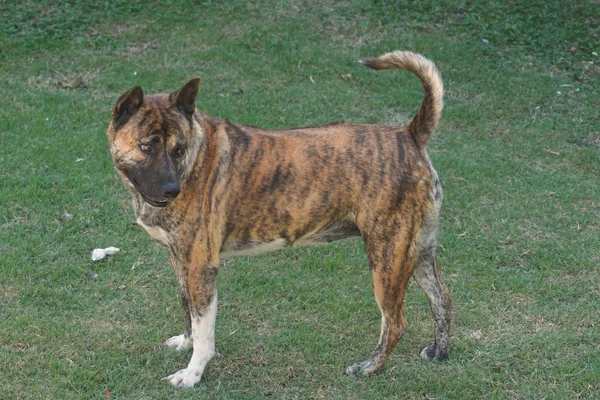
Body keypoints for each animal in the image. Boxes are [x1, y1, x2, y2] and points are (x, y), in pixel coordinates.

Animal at [106, 50, 450, 388]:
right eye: (146, 146)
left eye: (179, 149)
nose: (172, 189)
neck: (196, 158)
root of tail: (409, 135)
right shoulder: (181, 261)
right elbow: (187, 308)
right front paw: (186, 343)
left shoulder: (201, 267)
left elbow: (204, 330)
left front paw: (192, 374)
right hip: (417, 251)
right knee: (442, 298)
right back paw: (440, 351)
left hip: (387, 260)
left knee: (396, 323)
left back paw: (369, 367)